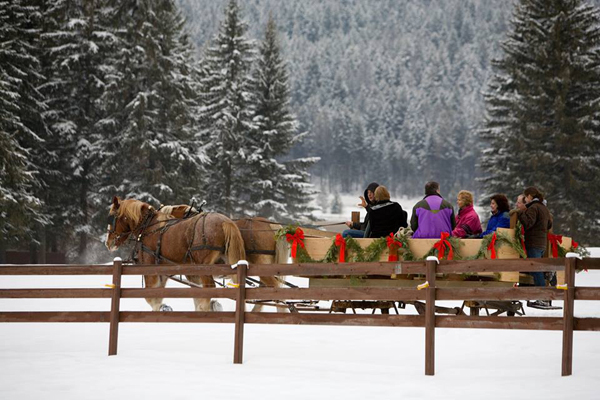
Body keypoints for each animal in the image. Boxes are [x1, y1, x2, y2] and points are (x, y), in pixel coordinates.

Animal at [105, 197, 246, 312]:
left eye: (114, 217)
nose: (108, 242)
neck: (149, 227)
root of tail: (225, 221)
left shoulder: (150, 267)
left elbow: (151, 298)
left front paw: (163, 308)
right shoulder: (165, 271)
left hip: (203, 266)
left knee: (210, 287)